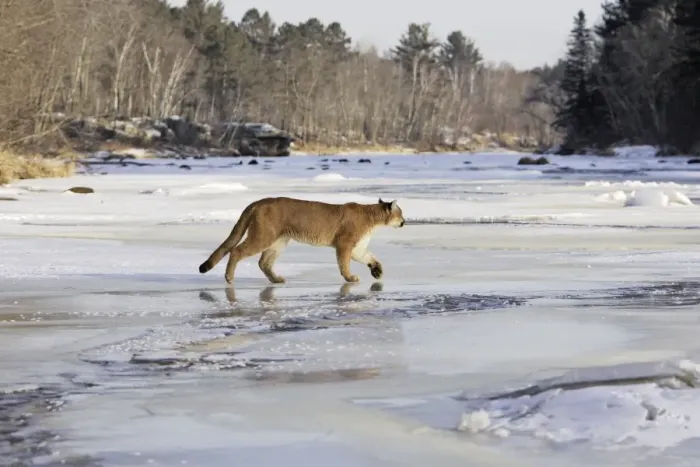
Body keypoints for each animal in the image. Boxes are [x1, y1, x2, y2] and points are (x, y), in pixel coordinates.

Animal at [198, 196, 406, 284]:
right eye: (401, 213)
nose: (404, 221)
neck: (372, 218)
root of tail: (258, 202)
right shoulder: (344, 244)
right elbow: (344, 263)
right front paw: (350, 278)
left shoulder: (358, 248)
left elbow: (369, 257)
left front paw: (377, 270)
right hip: (263, 236)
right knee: (237, 251)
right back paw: (229, 278)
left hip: (279, 240)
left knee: (263, 262)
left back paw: (276, 279)